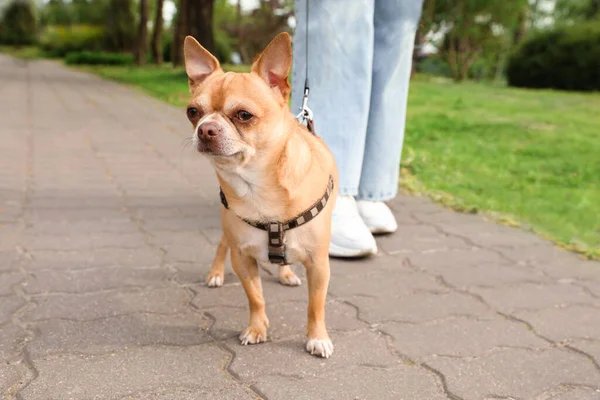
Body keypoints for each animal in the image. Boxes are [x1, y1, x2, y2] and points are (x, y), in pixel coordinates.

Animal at [183, 30, 340, 356]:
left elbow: (315, 305)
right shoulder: (243, 258)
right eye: (193, 112)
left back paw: (287, 273)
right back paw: (215, 273)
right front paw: (257, 329)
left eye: (244, 115)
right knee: (221, 246)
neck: (256, 185)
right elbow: (255, 297)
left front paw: (317, 337)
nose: (205, 129)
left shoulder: (319, 265)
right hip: (227, 233)